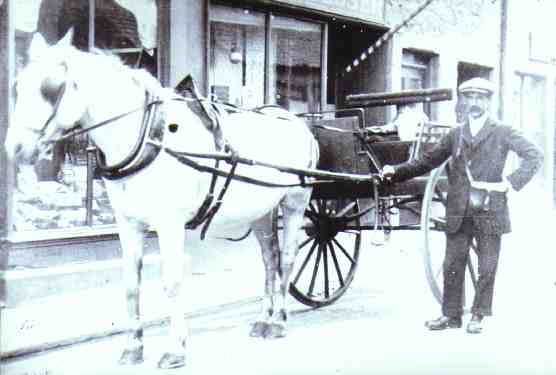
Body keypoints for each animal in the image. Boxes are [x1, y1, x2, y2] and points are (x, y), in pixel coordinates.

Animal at [4, 30, 320, 372]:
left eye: (51, 87)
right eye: (17, 85)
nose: (14, 148)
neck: (149, 137)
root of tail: (296, 121)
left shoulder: (170, 224)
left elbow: (172, 283)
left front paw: (176, 349)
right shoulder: (128, 224)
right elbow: (131, 284)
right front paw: (133, 347)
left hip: (294, 203)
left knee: (287, 259)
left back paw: (279, 321)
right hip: (261, 212)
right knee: (270, 260)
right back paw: (263, 319)